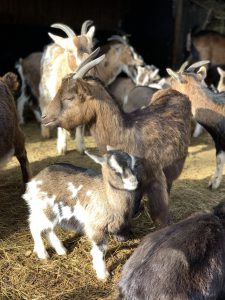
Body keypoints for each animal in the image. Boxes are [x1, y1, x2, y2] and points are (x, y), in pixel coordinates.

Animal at [38, 20, 95, 155]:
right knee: (42, 103)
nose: (89, 71)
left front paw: (81, 147)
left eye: (91, 48)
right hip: (43, 89)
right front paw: (62, 148)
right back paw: (45, 133)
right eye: (70, 51)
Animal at [40, 50, 192, 227]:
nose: (44, 117)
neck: (125, 133)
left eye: (70, 97)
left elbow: (160, 215)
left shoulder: (155, 178)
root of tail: (175, 92)